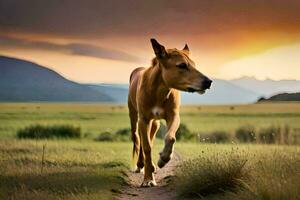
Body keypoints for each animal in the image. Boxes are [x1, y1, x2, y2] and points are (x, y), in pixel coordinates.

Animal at [128, 39, 211, 188]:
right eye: (182, 65)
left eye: (194, 64)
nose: (208, 82)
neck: (159, 91)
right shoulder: (144, 119)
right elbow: (147, 147)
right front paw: (148, 178)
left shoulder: (174, 116)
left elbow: (170, 137)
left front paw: (163, 159)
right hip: (134, 116)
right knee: (138, 138)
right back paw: (141, 164)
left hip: (155, 123)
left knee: (150, 137)